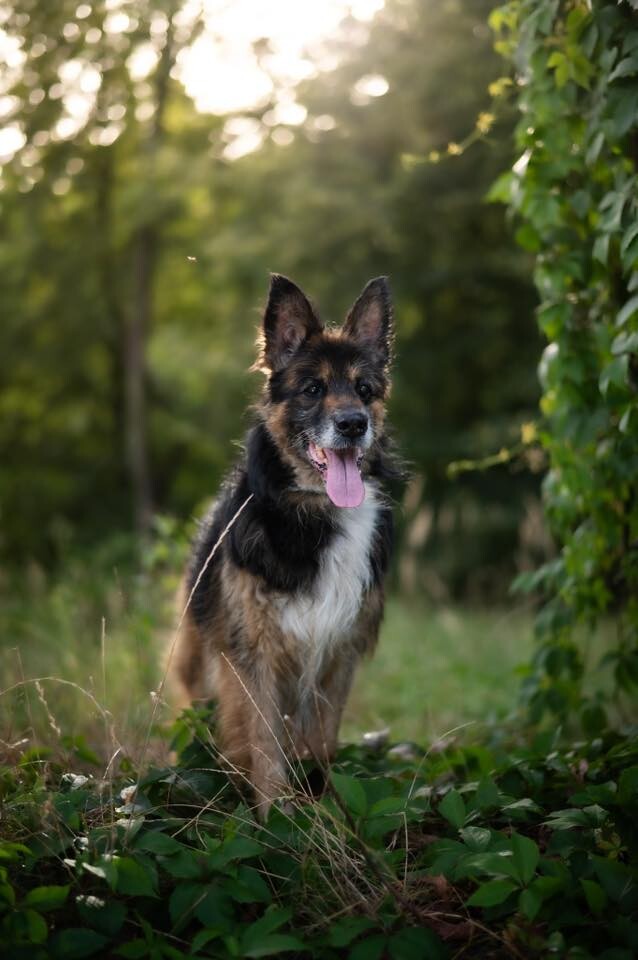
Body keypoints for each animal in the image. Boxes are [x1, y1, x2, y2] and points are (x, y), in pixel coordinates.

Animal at [171, 274, 399, 812]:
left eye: (364, 389)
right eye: (313, 389)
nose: (353, 424)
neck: (315, 510)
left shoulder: (339, 653)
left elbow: (321, 744)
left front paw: (324, 808)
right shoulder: (254, 657)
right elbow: (265, 747)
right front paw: (277, 819)